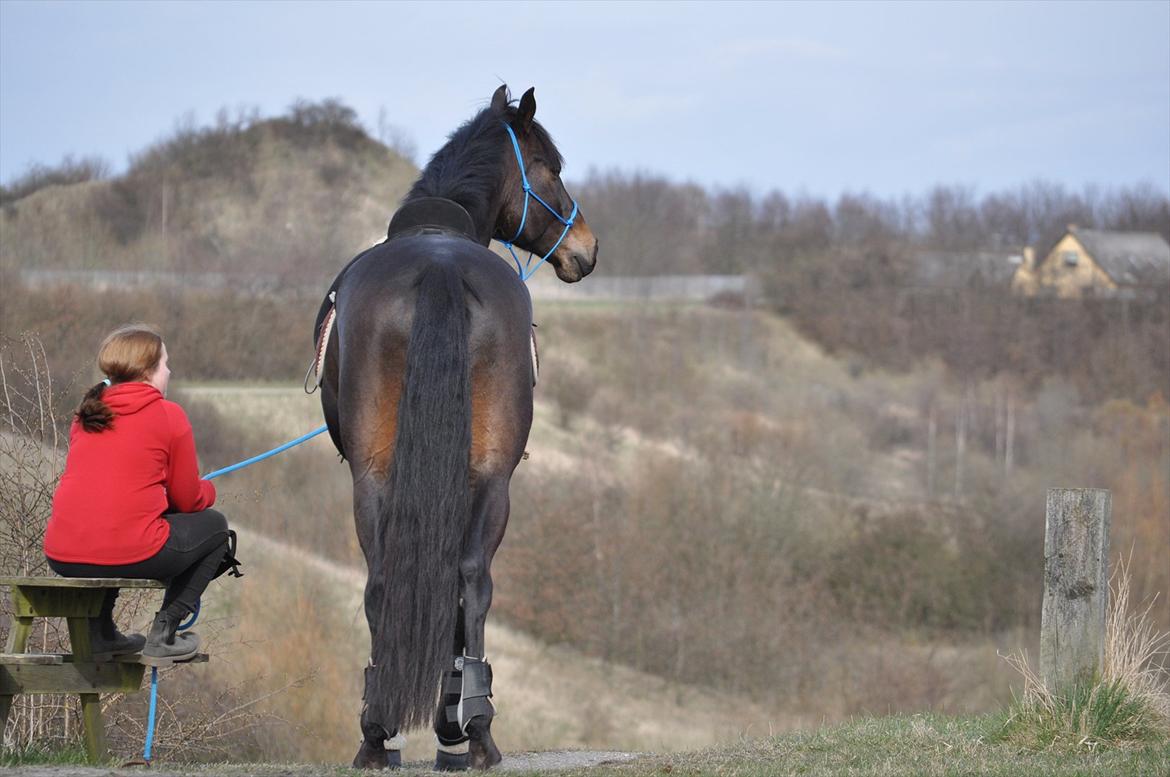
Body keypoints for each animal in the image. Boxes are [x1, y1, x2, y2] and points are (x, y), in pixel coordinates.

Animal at [315, 86, 599, 772]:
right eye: (553, 167)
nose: (587, 247)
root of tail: (439, 267)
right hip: (491, 481)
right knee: (469, 576)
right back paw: (476, 732)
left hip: (381, 477)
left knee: (397, 578)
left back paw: (384, 730)